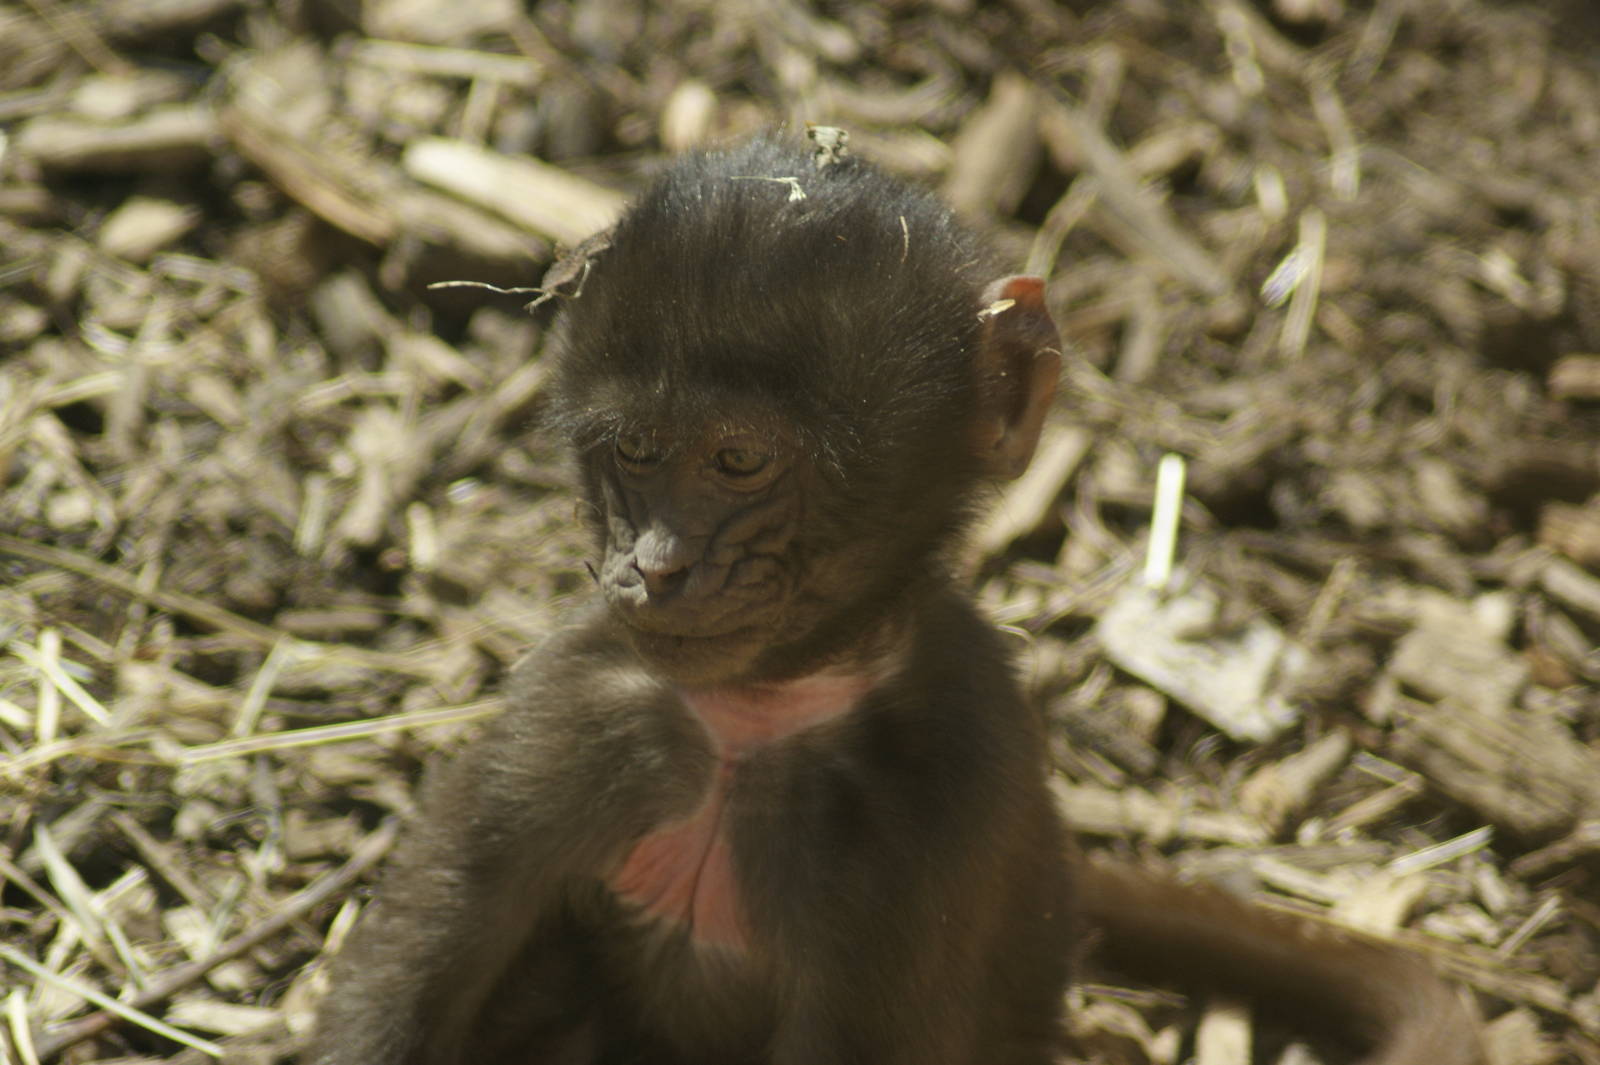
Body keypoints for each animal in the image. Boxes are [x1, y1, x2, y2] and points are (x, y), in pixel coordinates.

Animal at [304, 134, 1484, 1065]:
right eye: (634, 451)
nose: (656, 563)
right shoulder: (574, 705)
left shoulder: (941, 797)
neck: (753, 719)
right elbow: (428, 945)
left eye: (737, 460)